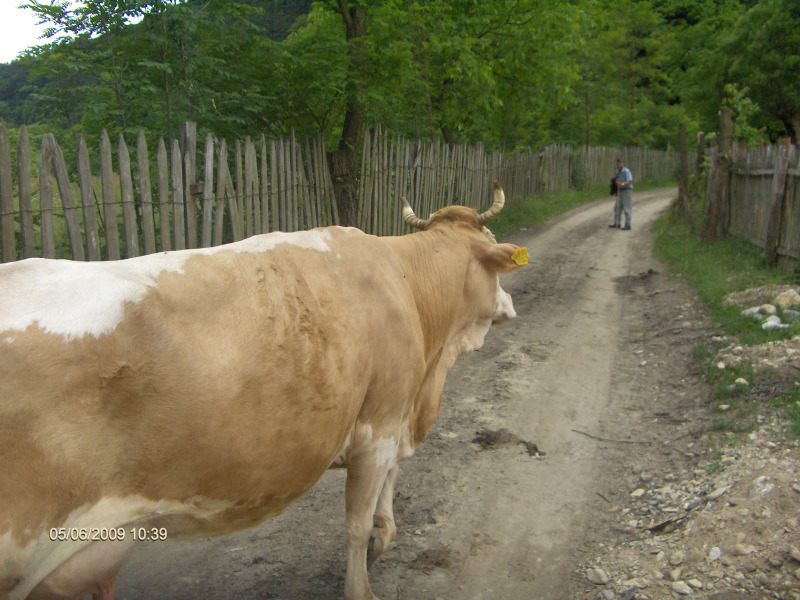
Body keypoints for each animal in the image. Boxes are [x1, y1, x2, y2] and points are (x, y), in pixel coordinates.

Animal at [0, 183, 528, 600]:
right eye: (494, 254)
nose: (510, 304)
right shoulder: (380, 421)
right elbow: (356, 525)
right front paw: (365, 576)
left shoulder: (394, 418)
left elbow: (389, 485)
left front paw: (386, 533)